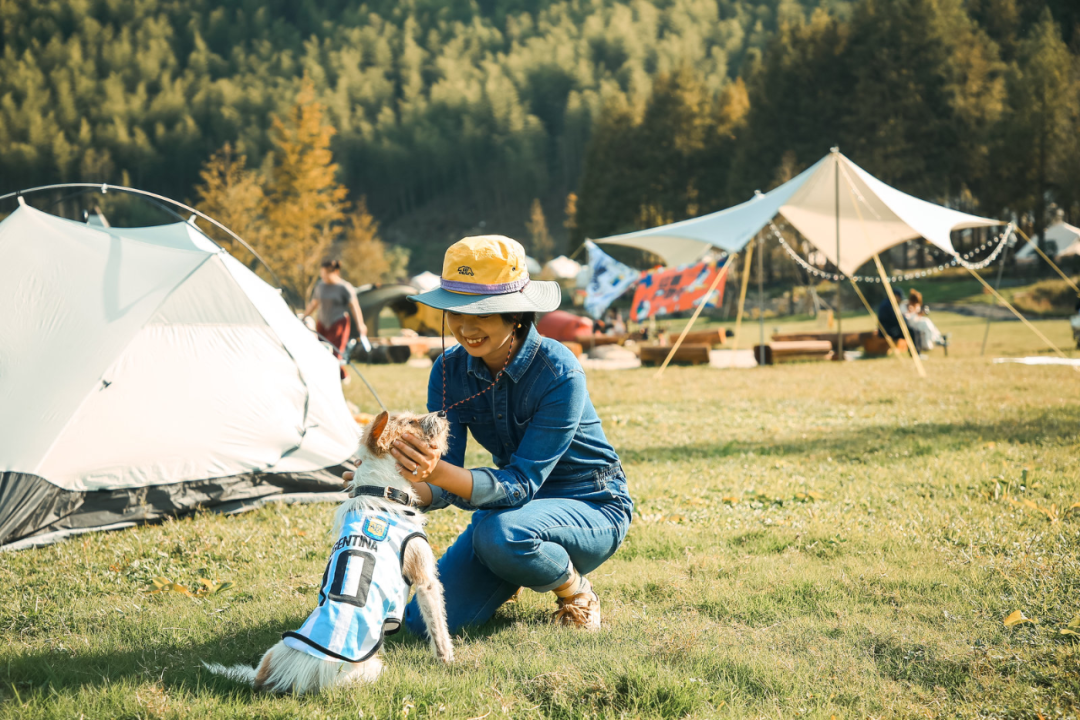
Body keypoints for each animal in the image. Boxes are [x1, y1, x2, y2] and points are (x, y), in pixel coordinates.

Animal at [203, 414, 451, 695]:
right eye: (410, 421)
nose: (442, 413)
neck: (380, 488)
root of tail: (269, 677)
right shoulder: (426, 580)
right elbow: (438, 626)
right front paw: (448, 661)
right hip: (371, 667)